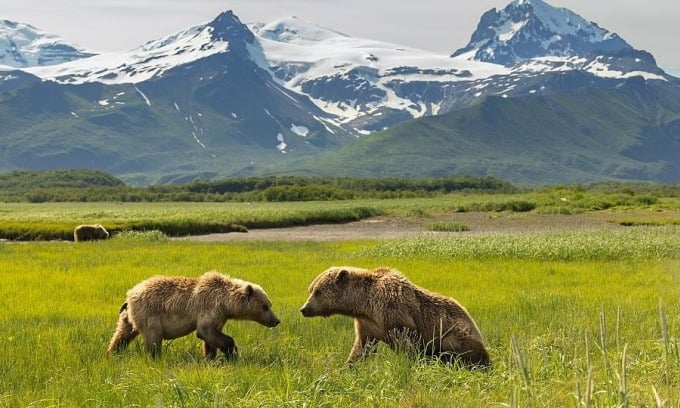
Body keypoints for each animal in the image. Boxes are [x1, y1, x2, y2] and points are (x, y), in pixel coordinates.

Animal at [105, 272, 278, 358]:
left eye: (269, 304)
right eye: (265, 306)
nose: (276, 321)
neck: (226, 302)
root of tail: (129, 294)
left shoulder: (220, 316)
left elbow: (211, 337)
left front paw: (210, 357)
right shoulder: (209, 307)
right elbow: (204, 331)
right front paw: (232, 352)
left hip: (128, 317)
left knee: (122, 334)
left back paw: (112, 353)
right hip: (149, 314)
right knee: (153, 338)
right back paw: (155, 357)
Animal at [300, 266, 492, 368]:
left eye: (317, 291)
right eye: (311, 289)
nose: (304, 309)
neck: (365, 305)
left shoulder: (394, 312)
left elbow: (407, 345)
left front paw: (413, 365)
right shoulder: (368, 325)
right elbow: (362, 347)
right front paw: (348, 366)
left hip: (457, 332)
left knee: (453, 345)